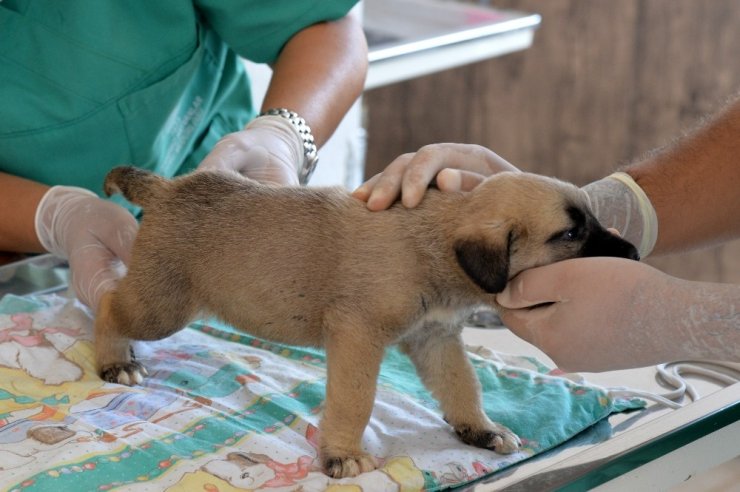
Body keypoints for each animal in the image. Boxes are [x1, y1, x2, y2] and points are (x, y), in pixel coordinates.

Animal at [95, 167, 640, 478]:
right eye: (569, 234)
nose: (634, 252)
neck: (434, 239)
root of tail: (167, 189)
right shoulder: (358, 335)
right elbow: (355, 401)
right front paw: (342, 455)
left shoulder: (436, 338)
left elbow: (463, 387)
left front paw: (480, 430)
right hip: (162, 306)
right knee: (107, 303)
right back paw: (114, 360)